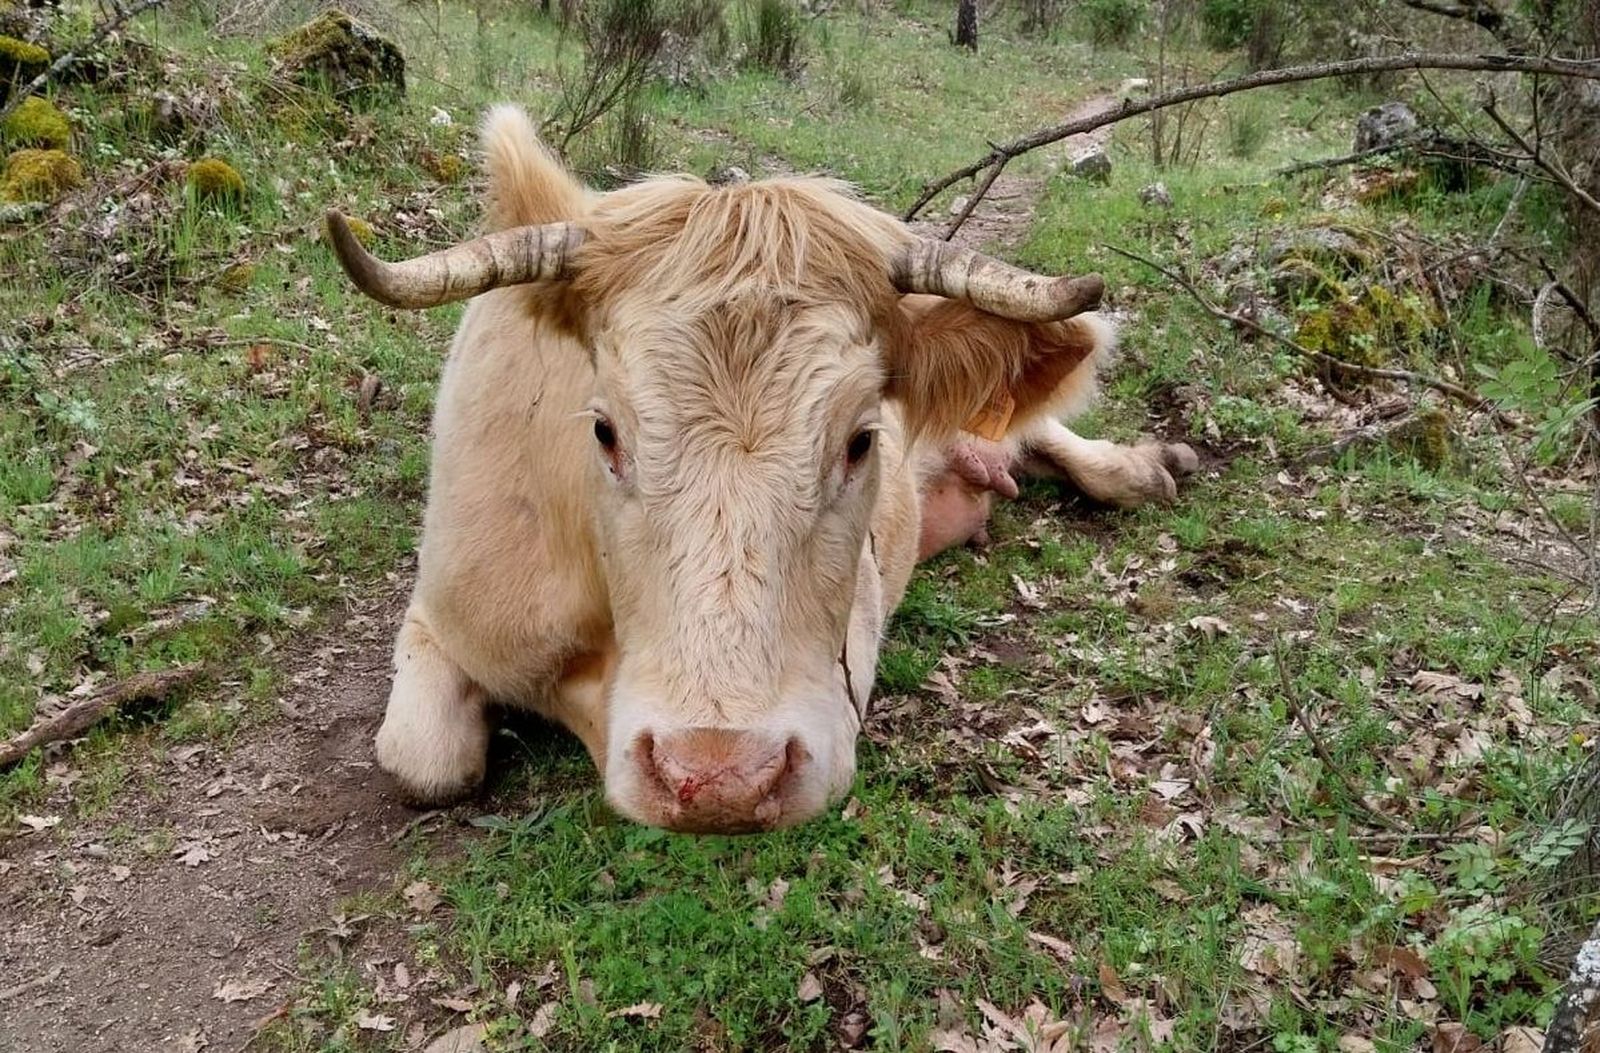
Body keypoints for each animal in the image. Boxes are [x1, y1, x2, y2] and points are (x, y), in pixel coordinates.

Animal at [324, 105, 1195, 834]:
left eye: (861, 440)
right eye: (604, 431)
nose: (722, 776)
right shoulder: (444, 614)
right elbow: (427, 763)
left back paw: (1145, 465)